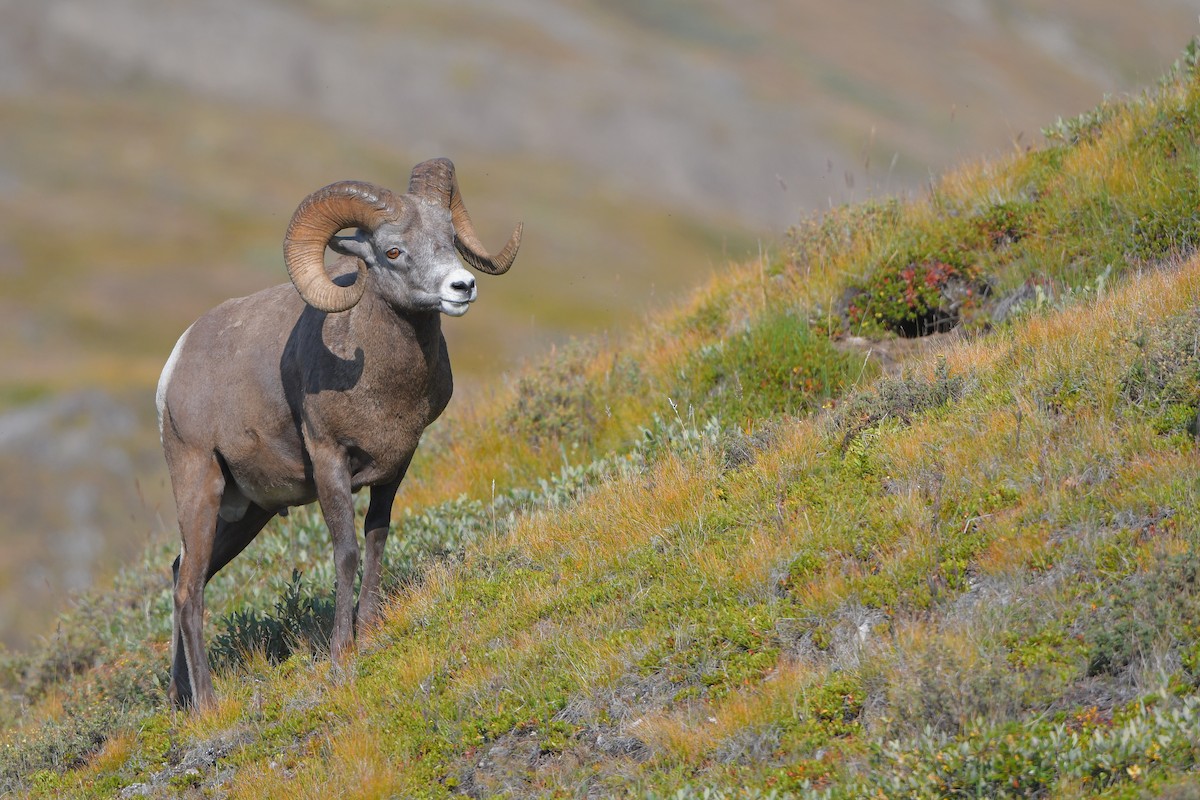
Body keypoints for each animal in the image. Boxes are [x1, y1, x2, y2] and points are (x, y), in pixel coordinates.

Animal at [156, 158, 521, 709]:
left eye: (449, 239)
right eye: (393, 251)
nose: (462, 287)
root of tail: (174, 367)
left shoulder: (397, 464)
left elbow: (376, 538)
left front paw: (368, 632)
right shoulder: (330, 461)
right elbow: (346, 551)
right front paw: (339, 656)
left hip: (249, 512)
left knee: (184, 573)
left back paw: (180, 697)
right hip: (200, 484)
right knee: (189, 589)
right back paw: (208, 707)